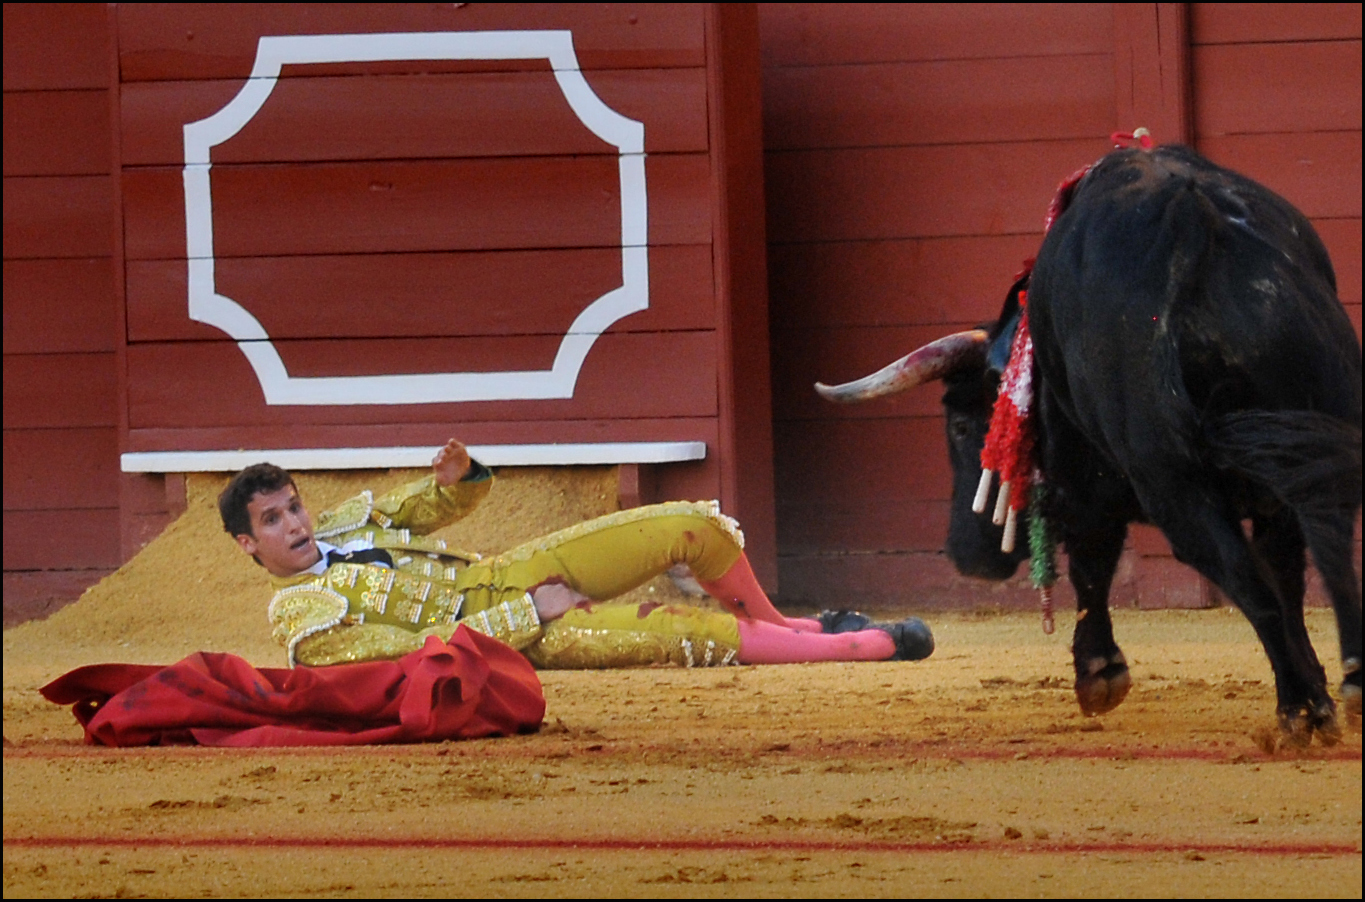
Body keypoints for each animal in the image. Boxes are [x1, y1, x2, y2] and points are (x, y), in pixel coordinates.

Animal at [813, 143, 1359, 742]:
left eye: (960, 426)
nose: (965, 555)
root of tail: (1195, 228)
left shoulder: (1083, 481)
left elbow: (1092, 559)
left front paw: (1099, 672)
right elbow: (1289, 577)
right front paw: (1319, 690)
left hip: (1177, 487)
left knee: (1247, 581)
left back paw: (1296, 710)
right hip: (1308, 433)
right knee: (1326, 556)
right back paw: (1342, 688)